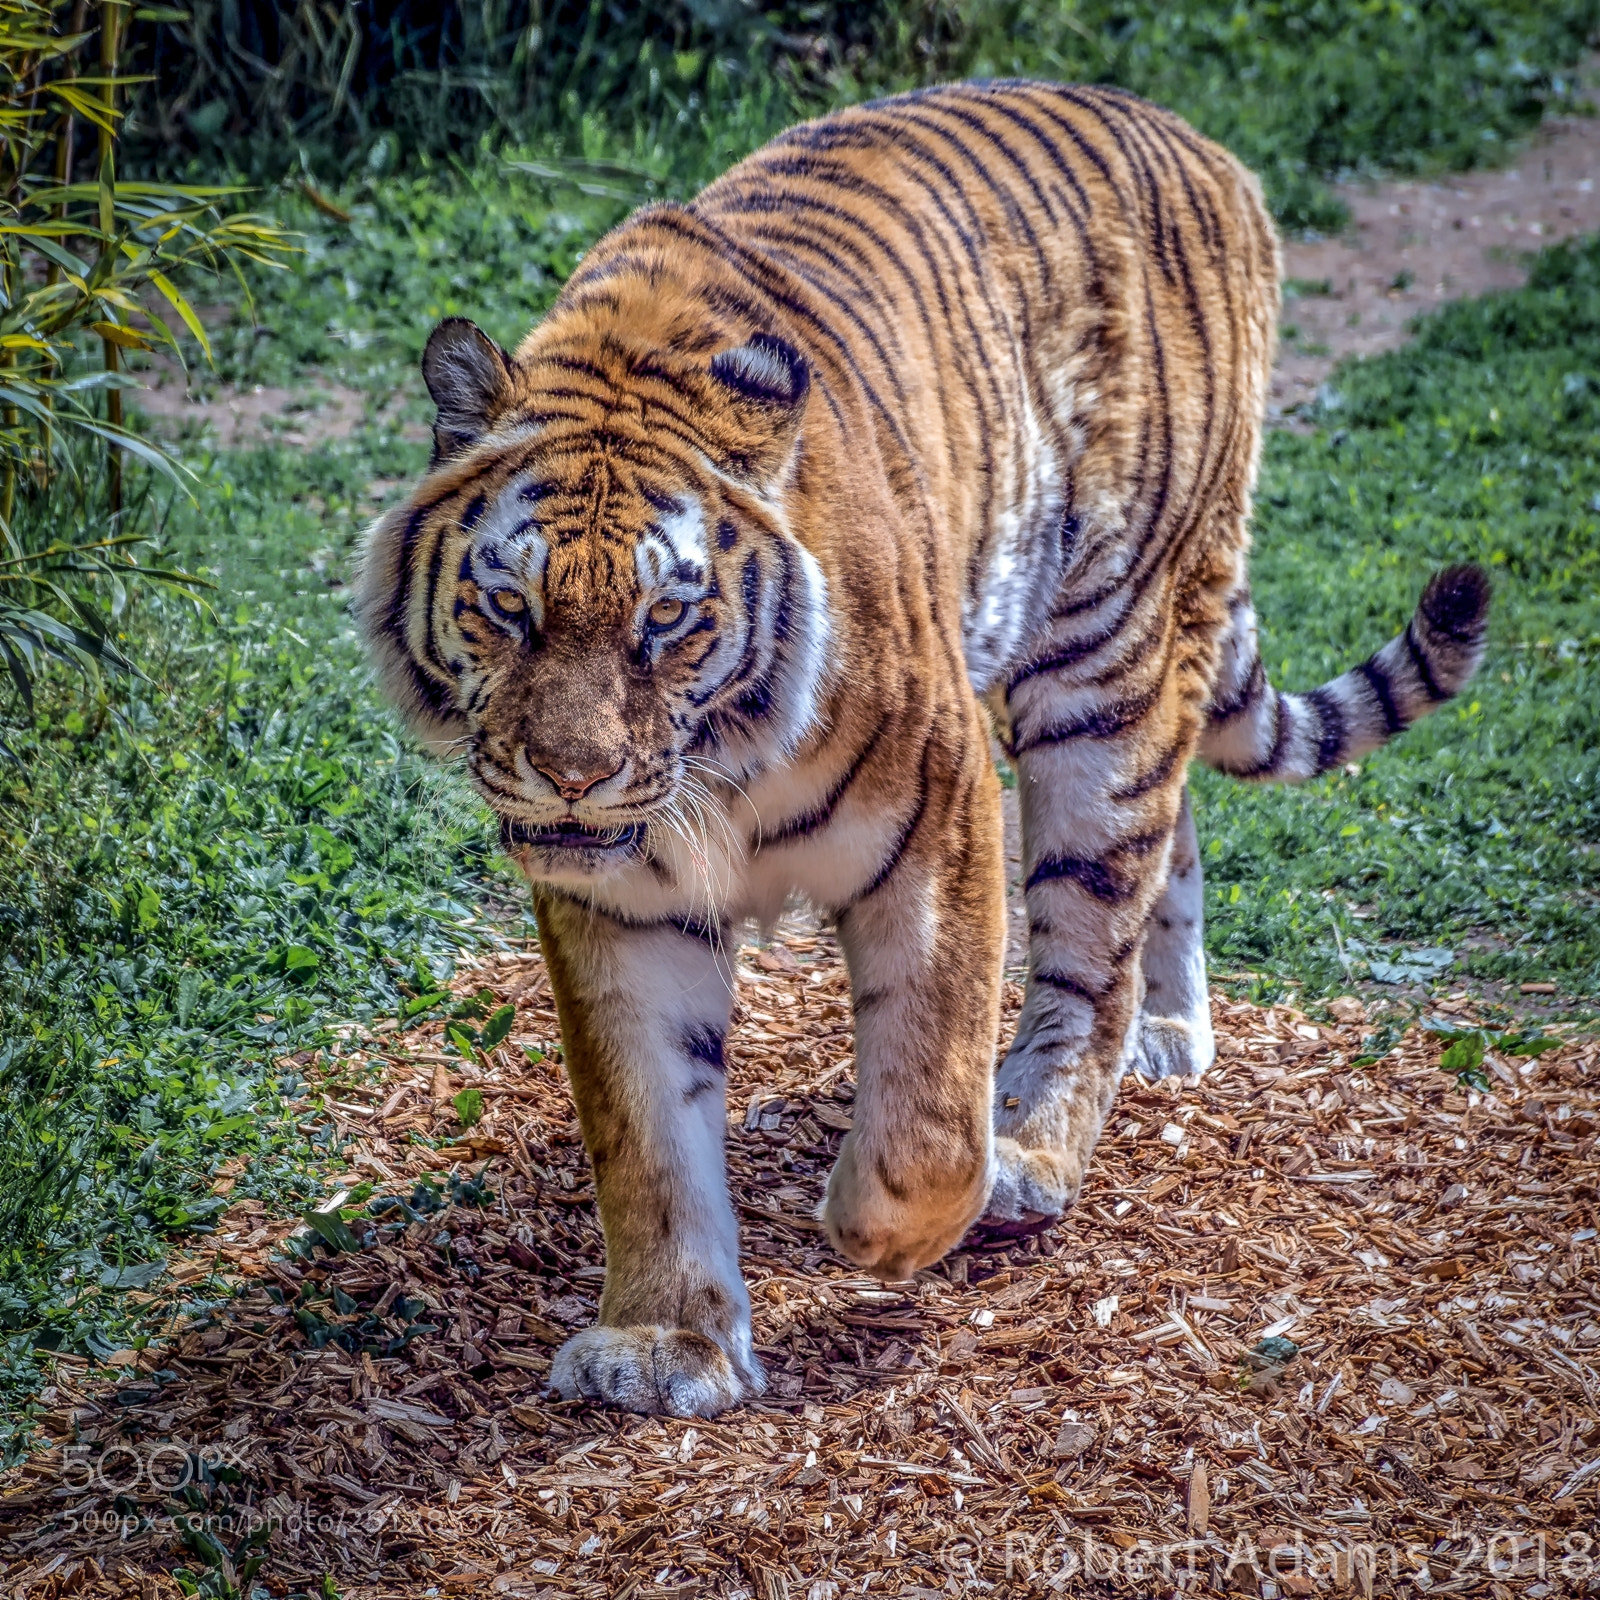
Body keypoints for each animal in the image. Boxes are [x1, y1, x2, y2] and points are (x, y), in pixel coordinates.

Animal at [355, 81, 1490, 1418]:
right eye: (509, 606)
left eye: (666, 618)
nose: (570, 777)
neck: (714, 776)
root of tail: (1199, 142)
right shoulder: (624, 903)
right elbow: (645, 1133)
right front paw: (663, 1340)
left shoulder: (939, 812)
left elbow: (929, 1095)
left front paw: (887, 1226)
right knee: (1173, 828)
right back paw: (1170, 1032)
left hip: (1101, 665)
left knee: (1094, 934)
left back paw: (1036, 1147)